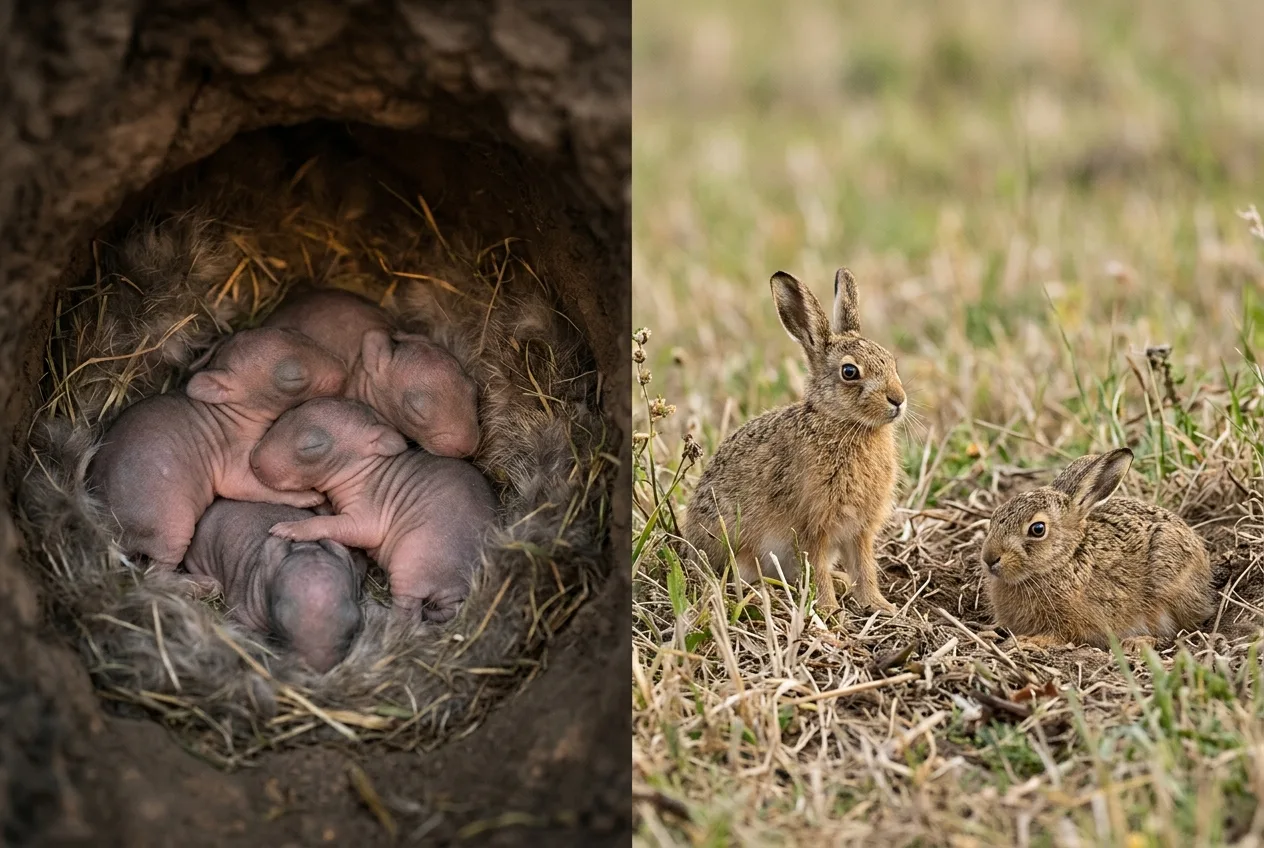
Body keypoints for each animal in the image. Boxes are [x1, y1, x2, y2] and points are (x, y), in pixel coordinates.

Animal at [684, 268, 906, 616]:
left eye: (892, 363)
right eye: (849, 372)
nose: (898, 400)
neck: (842, 423)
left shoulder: (860, 530)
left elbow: (865, 567)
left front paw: (880, 605)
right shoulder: (813, 525)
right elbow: (817, 566)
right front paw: (828, 611)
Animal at [980, 447, 1215, 650]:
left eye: (1038, 529)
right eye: (995, 515)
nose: (989, 558)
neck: (1065, 558)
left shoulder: (1073, 622)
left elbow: (1060, 635)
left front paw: (1027, 641)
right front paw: (989, 632)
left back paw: (1137, 642)